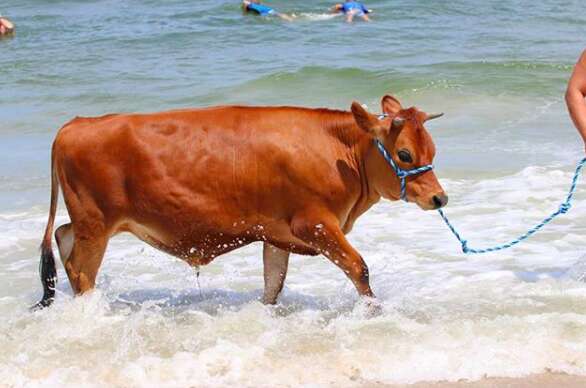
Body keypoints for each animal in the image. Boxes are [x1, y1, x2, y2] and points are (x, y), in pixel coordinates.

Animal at [34, 94, 444, 310]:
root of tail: (76, 124)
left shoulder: (277, 234)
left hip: (88, 222)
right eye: (404, 154)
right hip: (96, 224)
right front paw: (373, 310)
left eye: (432, 149)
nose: (440, 197)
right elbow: (359, 268)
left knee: (62, 235)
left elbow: (273, 283)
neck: (338, 152)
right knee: (80, 268)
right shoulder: (314, 223)